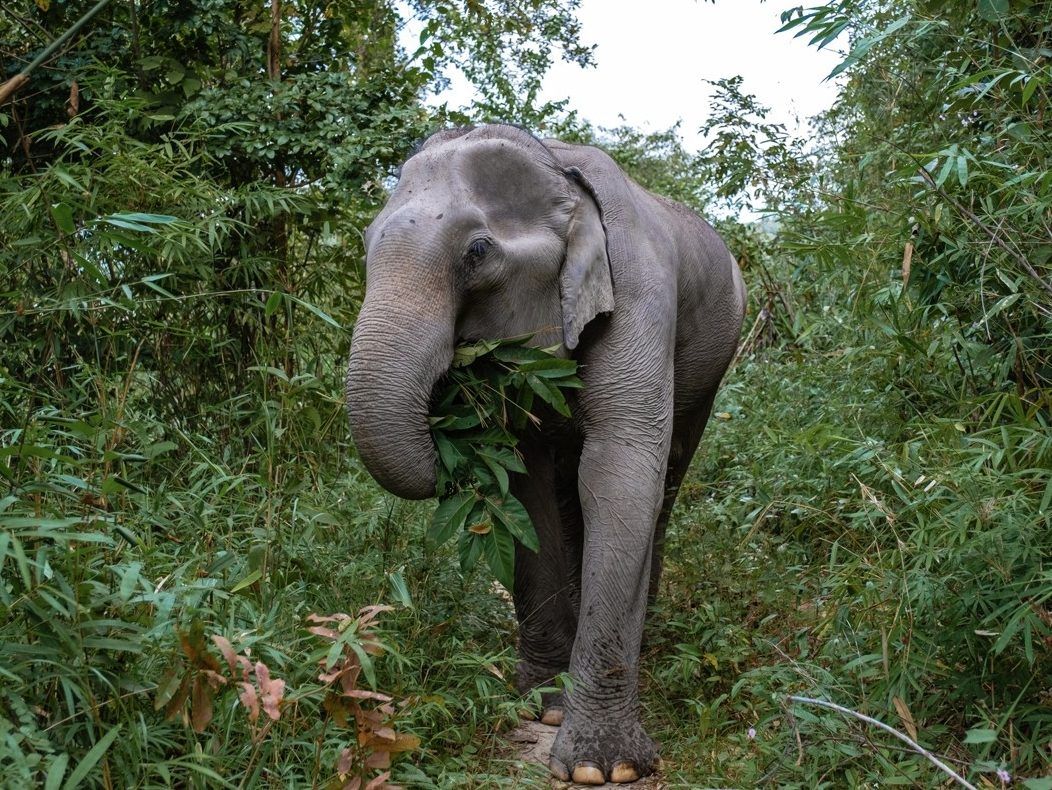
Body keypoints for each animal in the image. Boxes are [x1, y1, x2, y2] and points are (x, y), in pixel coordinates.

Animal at [345, 124, 745, 784]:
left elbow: (620, 470)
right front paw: (541, 705)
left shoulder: (639, 294)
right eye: (366, 244)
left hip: (712, 364)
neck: (557, 170)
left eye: (477, 253)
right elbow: (524, 482)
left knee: (666, 480)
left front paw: (602, 767)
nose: (447, 424)